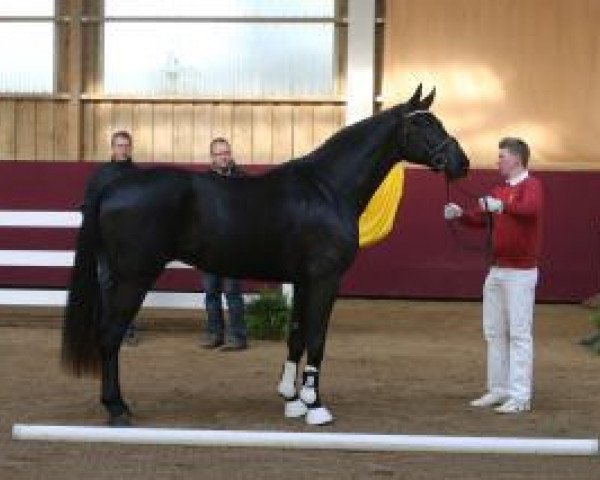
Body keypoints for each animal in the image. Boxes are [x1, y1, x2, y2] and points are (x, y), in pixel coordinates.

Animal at [63, 84, 472, 426]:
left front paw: (292, 399)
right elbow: (317, 339)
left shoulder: (304, 281)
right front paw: (316, 406)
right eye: (423, 124)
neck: (327, 188)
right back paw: (117, 408)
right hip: (133, 277)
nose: (462, 163)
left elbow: (297, 335)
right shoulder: (326, 279)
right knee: (110, 334)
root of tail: (115, 185)